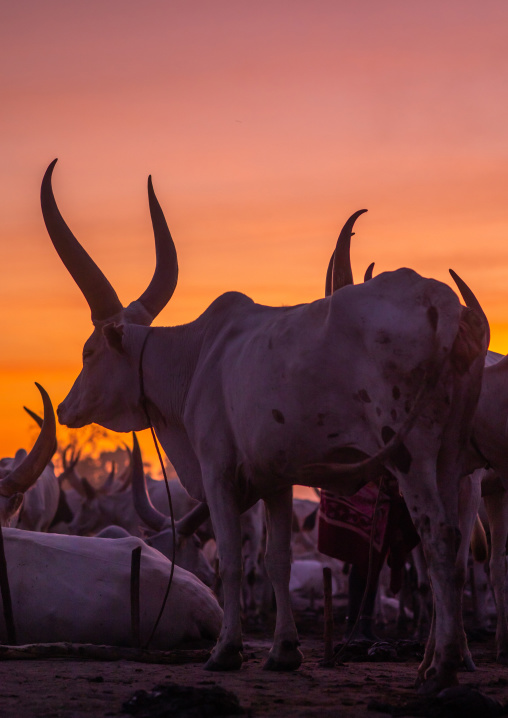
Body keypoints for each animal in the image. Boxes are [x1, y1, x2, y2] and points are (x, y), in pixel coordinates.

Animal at [41, 159, 487, 691]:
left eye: (89, 351)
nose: (65, 408)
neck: (196, 356)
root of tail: (443, 303)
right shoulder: (276, 479)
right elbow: (277, 562)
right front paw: (283, 651)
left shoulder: (217, 470)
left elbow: (232, 562)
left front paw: (226, 650)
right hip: (452, 458)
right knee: (455, 549)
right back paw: (439, 659)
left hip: (410, 454)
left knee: (437, 536)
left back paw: (441, 667)